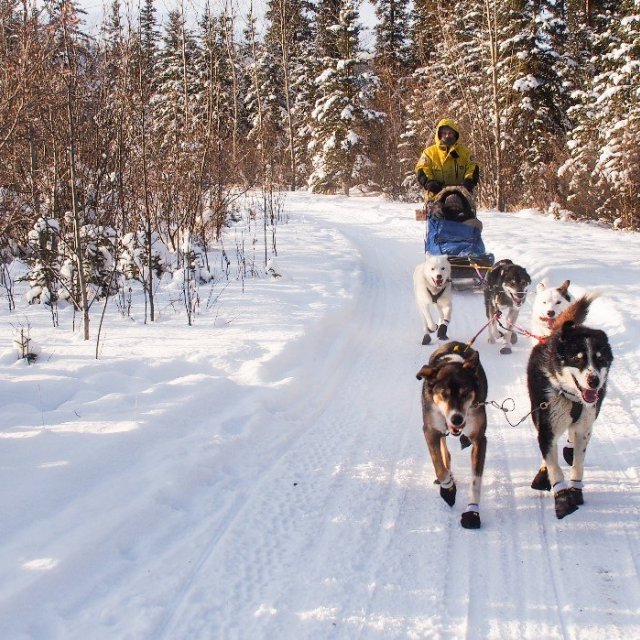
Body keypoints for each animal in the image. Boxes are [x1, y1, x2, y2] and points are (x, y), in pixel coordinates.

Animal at [418, 342, 488, 528]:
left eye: (465, 393)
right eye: (444, 394)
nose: (457, 419)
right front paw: (448, 489)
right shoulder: (430, 431)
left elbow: (475, 481)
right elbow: (439, 468)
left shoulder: (479, 439)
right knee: (445, 450)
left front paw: (472, 511)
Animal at [528, 296, 612, 520]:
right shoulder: (547, 426)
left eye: (600, 359)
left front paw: (575, 489)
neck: (571, 397)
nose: (594, 381)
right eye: (577, 358)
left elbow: (578, 463)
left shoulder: (584, 427)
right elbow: (554, 466)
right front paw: (563, 497)